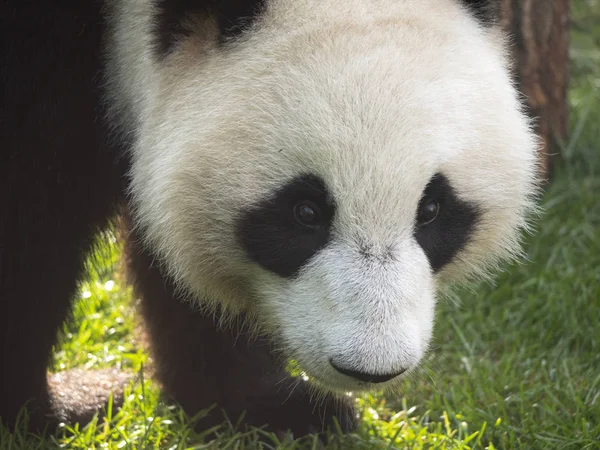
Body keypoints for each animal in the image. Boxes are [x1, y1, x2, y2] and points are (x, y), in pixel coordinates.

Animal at [1, 0, 540, 438]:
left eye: (430, 210)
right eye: (305, 212)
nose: (370, 368)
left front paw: (260, 407)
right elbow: (32, 207)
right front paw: (47, 410)